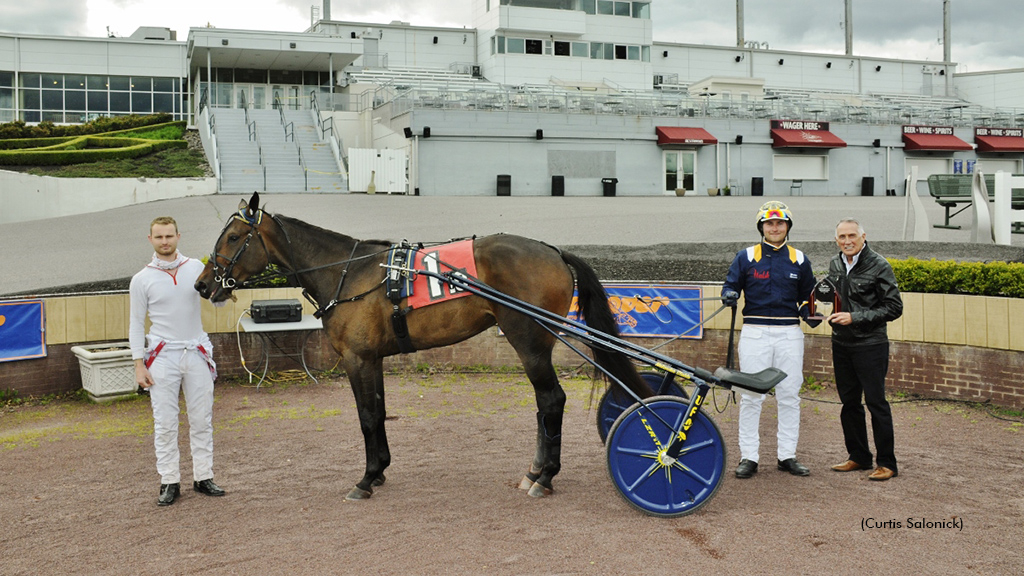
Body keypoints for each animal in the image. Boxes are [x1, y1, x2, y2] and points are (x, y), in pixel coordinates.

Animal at [195, 191, 651, 498]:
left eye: (233, 236)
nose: (202, 284)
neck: (350, 273)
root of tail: (553, 251)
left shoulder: (356, 358)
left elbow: (366, 416)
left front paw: (366, 479)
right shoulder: (372, 358)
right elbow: (378, 412)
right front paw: (379, 470)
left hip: (529, 341)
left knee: (552, 400)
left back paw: (546, 477)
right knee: (544, 404)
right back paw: (534, 471)